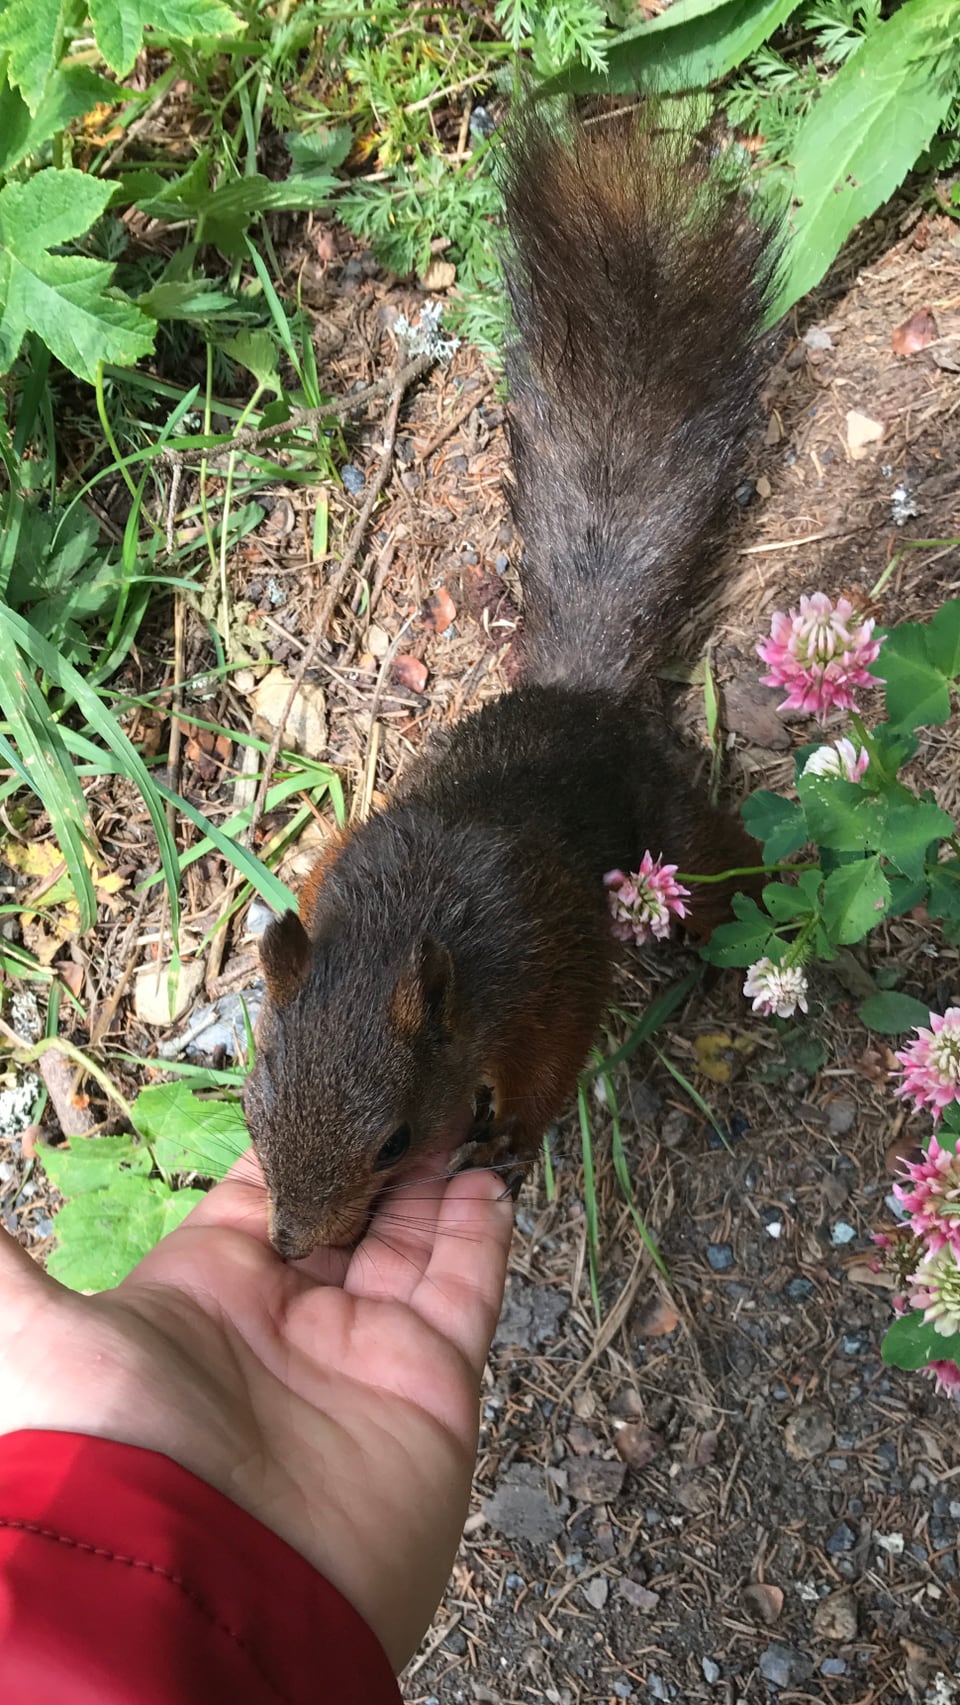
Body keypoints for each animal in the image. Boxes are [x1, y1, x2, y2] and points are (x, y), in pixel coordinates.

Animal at [245, 103, 780, 1254]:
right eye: (254, 1108)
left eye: (396, 1141)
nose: (297, 1245)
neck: (401, 935)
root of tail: (579, 701)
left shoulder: (549, 966)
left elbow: (549, 1065)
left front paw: (509, 1142)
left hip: (670, 824)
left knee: (722, 867)